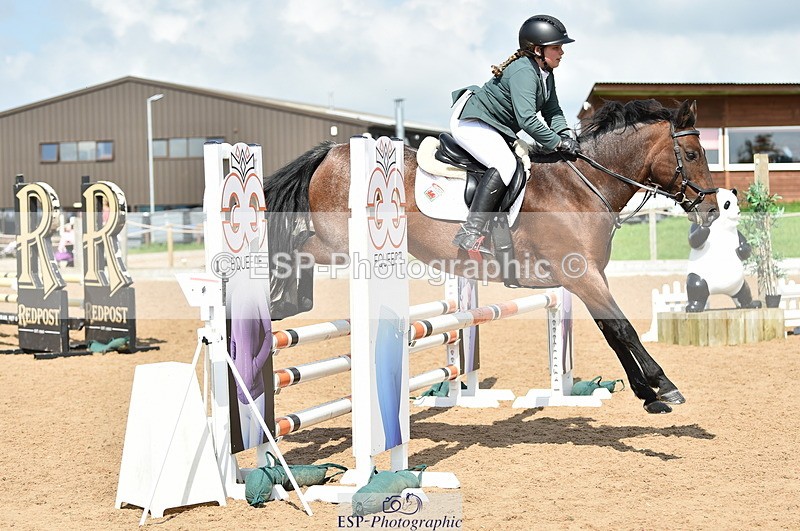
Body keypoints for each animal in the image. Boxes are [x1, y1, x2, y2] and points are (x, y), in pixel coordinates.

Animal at [263, 99, 719, 414]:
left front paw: (646, 393)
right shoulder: (581, 275)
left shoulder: (587, 278)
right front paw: (664, 385)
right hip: (339, 245)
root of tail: (329, 152)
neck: (580, 186)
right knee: (297, 247)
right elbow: (623, 328)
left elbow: (612, 329)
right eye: (693, 154)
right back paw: (281, 303)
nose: (713, 209)